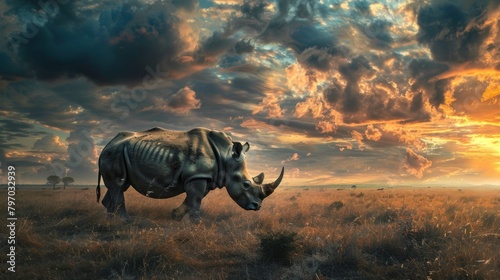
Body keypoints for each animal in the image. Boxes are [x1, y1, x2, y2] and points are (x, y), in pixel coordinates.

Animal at [96, 126, 286, 221]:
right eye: (246, 184)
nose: (257, 206)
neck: (226, 157)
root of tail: (107, 144)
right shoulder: (198, 175)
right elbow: (195, 199)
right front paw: (196, 223)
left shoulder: (205, 176)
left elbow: (193, 198)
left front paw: (176, 216)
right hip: (114, 153)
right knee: (118, 185)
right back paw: (126, 221)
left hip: (119, 153)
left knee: (119, 186)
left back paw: (110, 220)